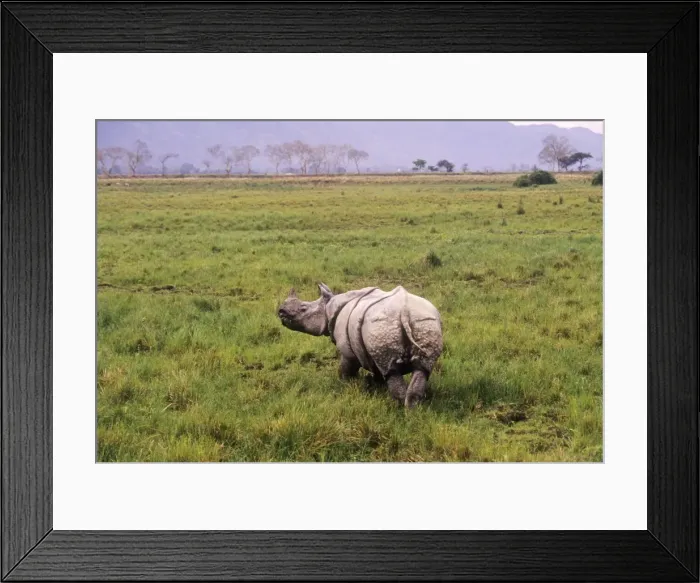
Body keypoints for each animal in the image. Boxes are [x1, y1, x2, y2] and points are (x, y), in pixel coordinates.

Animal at [277, 283, 443, 408]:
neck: (328, 308)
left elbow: (346, 369)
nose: (280, 311)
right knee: (422, 369)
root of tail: (404, 311)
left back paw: (399, 409)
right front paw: (377, 386)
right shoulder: (370, 351)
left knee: (391, 370)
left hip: (383, 325)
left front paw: (346, 384)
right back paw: (413, 411)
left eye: (303, 309)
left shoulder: (348, 352)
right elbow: (377, 371)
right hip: (424, 321)